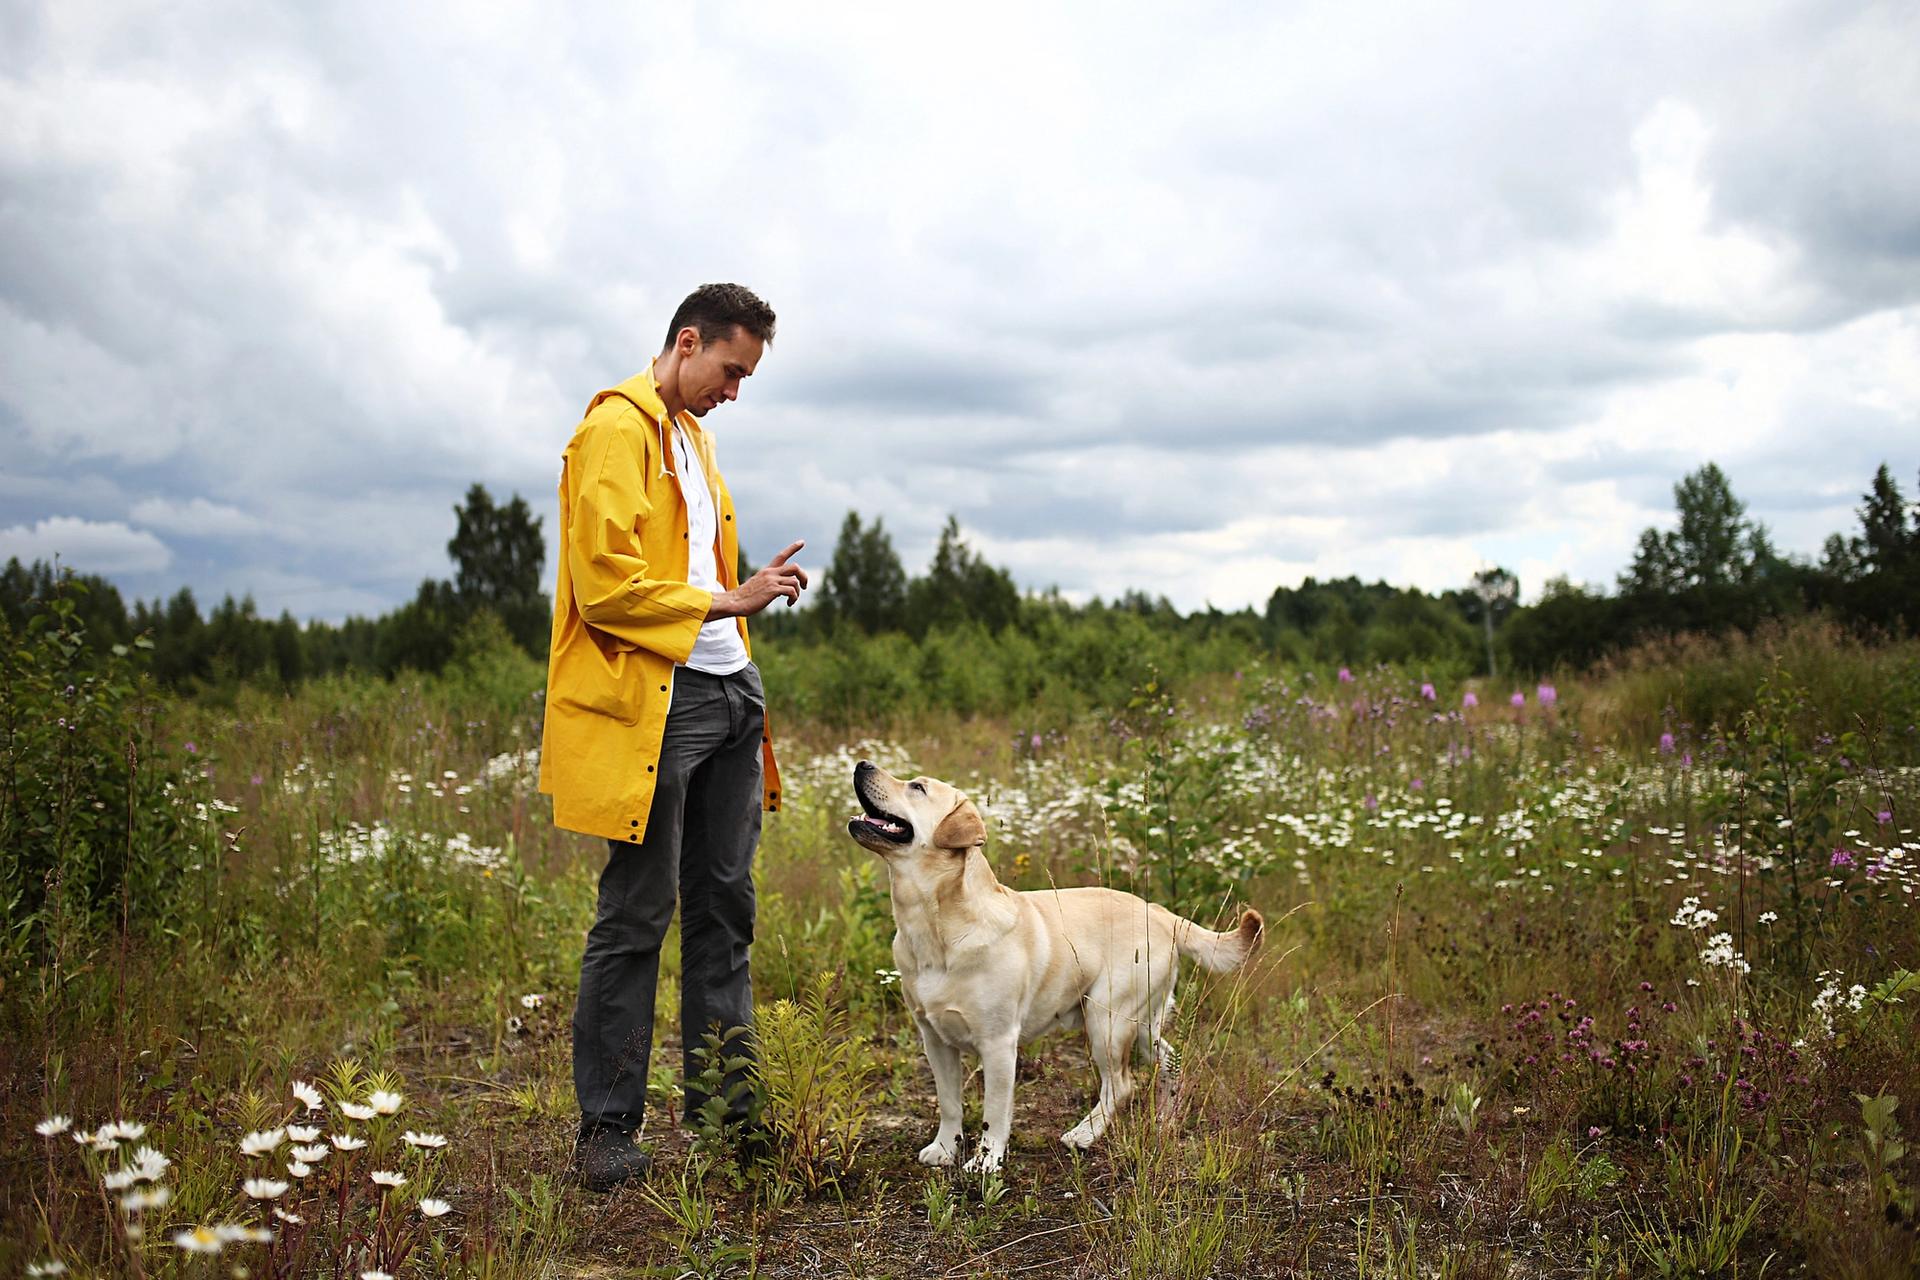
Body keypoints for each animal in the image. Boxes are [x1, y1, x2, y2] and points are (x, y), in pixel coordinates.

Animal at [852, 759, 1267, 1174]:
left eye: (917, 787)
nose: (862, 764)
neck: (933, 925)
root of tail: (1161, 912)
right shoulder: (934, 1038)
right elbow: (949, 1102)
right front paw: (944, 1149)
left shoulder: (998, 1043)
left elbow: (994, 1112)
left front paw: (985, 1162)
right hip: (1141, 1023)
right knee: (1170, 1059)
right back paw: (1165, 1121)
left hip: (1107, 1020)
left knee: (1122, 1084)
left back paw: (1083, 1135)